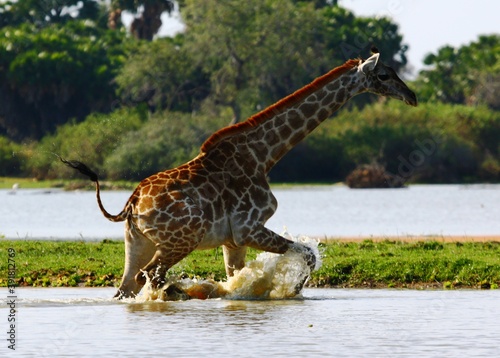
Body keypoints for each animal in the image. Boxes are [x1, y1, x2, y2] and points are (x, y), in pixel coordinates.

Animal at [62, 49, 416, 298]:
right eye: (384, 74)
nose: (412, 96)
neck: (264, 156)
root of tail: (132, 204)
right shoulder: (250, 227)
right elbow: (308, 255)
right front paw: (290, 291)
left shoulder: (233, 240)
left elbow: (238, 276)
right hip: (180, 241)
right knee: (150, 276)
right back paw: (180, 293)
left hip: (136, 243)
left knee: (127, 285)